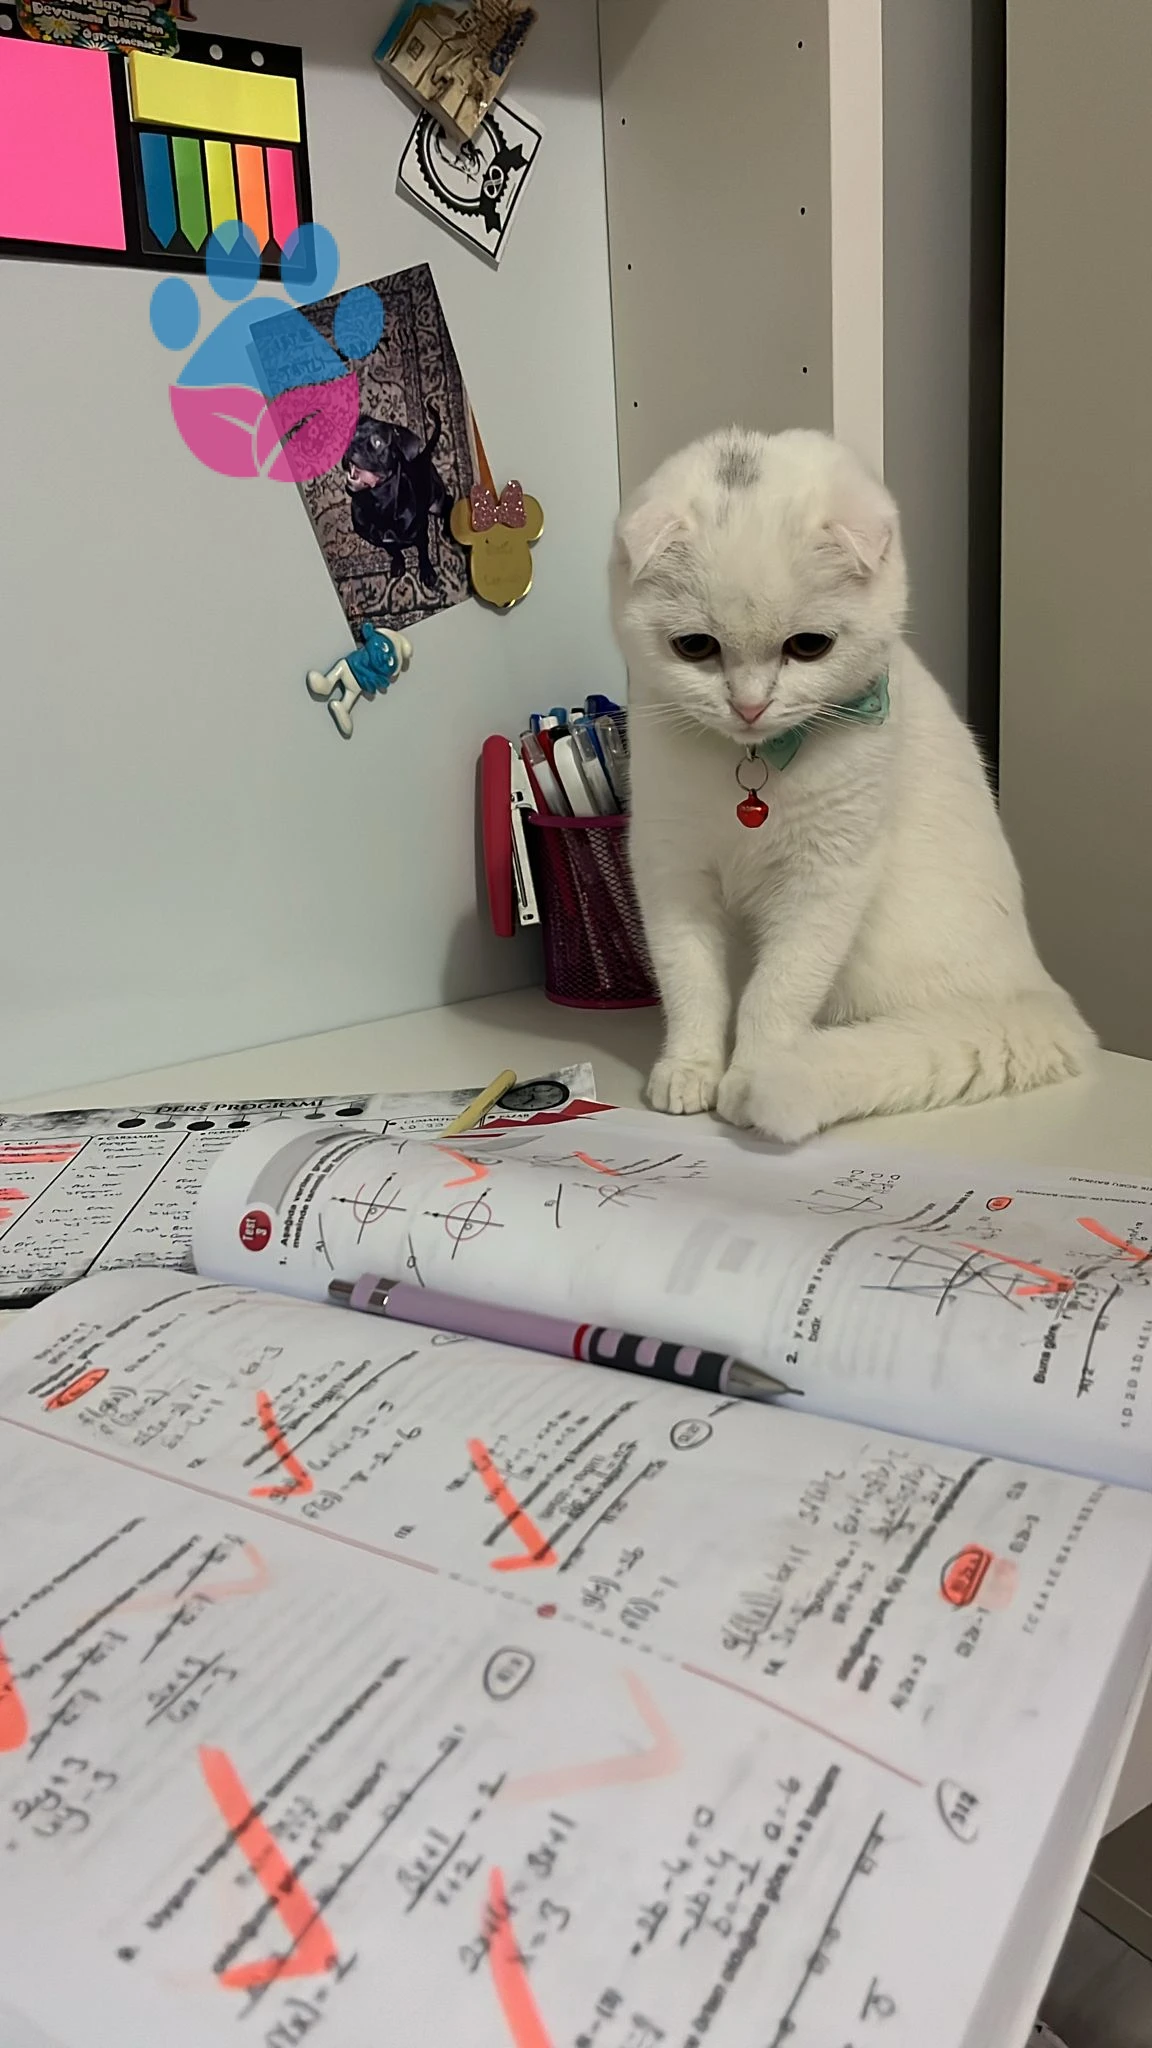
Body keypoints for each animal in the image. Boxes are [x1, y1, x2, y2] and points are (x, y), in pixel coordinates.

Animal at [610, 426, 1093, 1142]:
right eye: (694, 647)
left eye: (809, 646)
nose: (749, 706)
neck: (754, 765)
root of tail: (1039, 995)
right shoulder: (671, 873)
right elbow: (691, 982)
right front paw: (691, 1068)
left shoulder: (826, 881)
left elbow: (774, 996)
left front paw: (749, 1078)